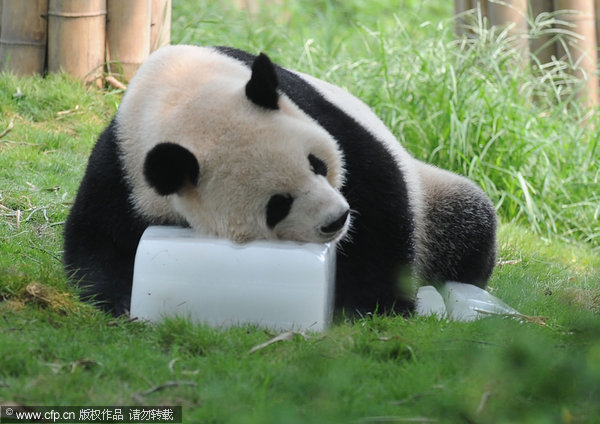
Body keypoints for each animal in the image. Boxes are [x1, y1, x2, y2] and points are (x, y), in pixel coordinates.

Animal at [63, 45, 500, 314]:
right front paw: (123, 298)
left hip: (433, 194)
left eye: (317, 165)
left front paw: (374, 302)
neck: (178, 97)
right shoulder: (125, 168)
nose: (336, 221)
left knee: (468, 221)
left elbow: (377, 200)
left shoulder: (313, 110)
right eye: (277, 205)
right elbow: (96, 241)